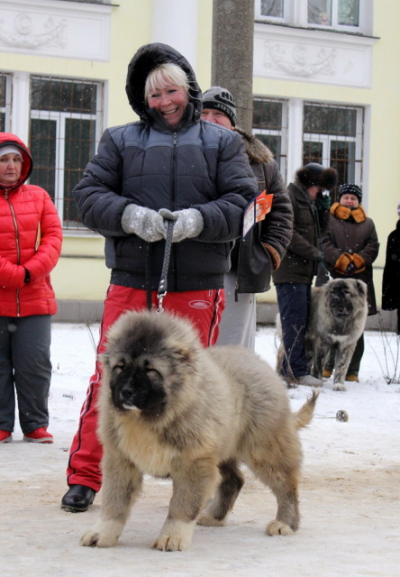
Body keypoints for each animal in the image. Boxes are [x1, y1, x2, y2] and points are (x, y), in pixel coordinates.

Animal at [80, 308, 318, 552]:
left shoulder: (193, 463)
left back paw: (284, 523)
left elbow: (181, 505)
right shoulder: (121, 459)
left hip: (265, 448)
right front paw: (103, 532)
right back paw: (215, 516)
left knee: (286, 485)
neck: (154, 415)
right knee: (234, 480)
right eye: (120, 367)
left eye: (151, 370)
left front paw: (172, 536)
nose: (126, 391)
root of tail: (260, 364)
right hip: (221, 450)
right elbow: (115, 501)